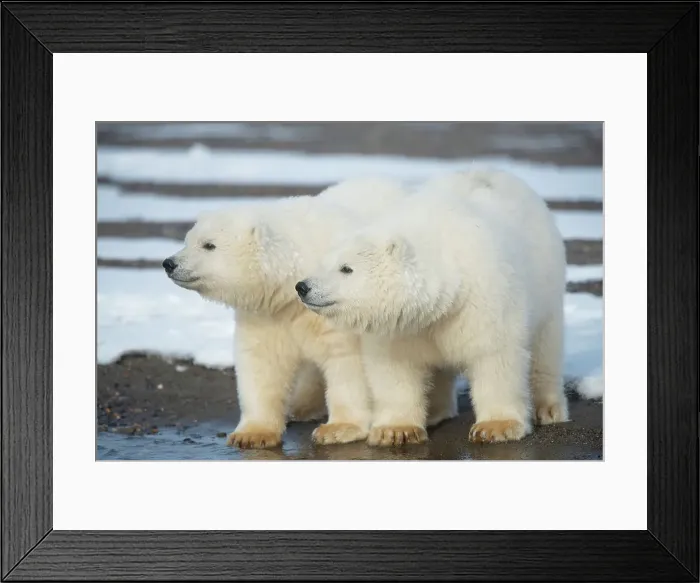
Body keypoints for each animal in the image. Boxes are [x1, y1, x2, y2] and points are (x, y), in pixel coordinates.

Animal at [163, 177, 460, 448]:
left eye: (208, 245)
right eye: (187, 240)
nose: (168, 263)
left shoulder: (339, 306)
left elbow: (347, 362)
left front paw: (338, 429)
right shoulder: (267, 314)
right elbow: (261, 362)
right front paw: (252, 434)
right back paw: (302, 406)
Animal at [296, 168, 569, 446]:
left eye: (346, 268)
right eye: (324, 263)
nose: (303, 287)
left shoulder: (484, 300)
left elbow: (494, 355)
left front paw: (496, 427)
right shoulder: (402, 327)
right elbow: (395, 367)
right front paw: (395, 430)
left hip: (547, 285)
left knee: (546, 349)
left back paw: (548, 408)